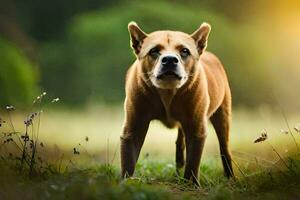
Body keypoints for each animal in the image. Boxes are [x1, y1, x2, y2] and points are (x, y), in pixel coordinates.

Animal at [120, 21, 233, 184]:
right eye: (154, 51)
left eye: (185, 51)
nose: (169, 59)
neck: (168, 93)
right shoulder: (133, 127)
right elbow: (128, 159)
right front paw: (126, 182)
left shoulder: (195, 128)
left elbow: (193, 162)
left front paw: (191, 184)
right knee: (180, 146)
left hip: (222, 115)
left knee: (224, 148)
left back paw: (231, 177)